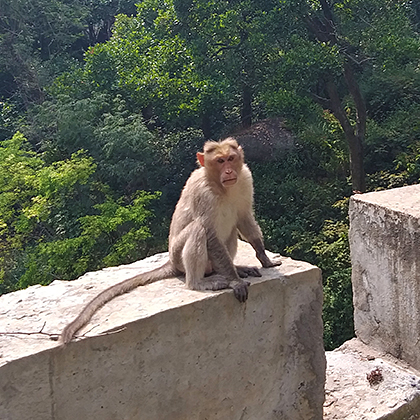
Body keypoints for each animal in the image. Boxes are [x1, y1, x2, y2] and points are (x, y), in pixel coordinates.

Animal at [60, 138, 280, 344]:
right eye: (219, 161)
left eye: (231, 158)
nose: (228, 171)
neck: (221, 187)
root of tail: (171, 262)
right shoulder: (202, 193)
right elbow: (209, 232)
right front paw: (235, 280)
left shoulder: (245, 179)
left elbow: (244, 217)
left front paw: (264, 257)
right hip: (178, 256)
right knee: (198, 230)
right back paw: (200, 282)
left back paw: (234, 269)